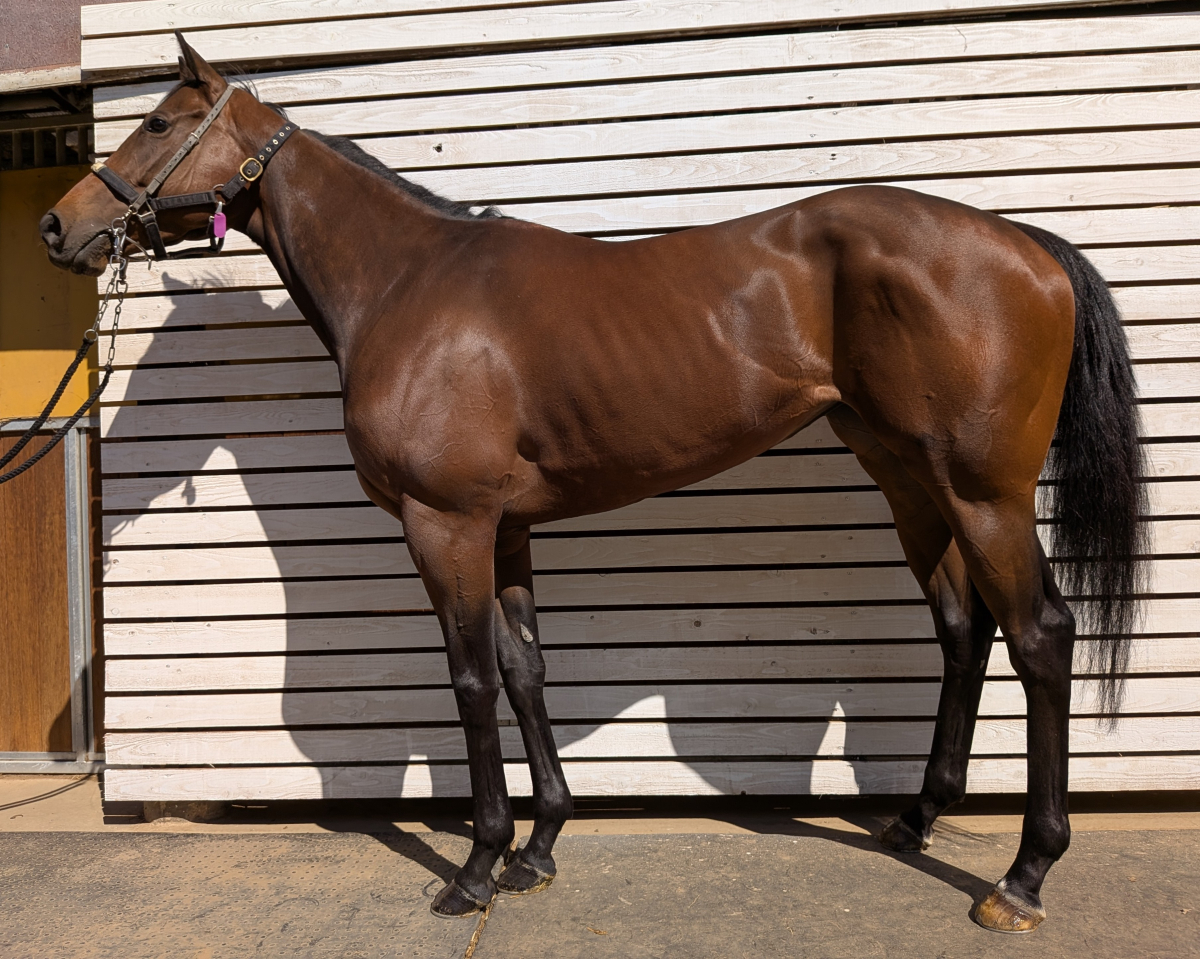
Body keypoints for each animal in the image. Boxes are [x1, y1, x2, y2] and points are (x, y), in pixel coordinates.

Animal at [43, 36, 1145, 933]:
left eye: (156, 122)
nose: (58, 227)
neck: (409, 284)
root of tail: (1026, 243)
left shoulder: (446, 524)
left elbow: (472, 678)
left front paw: (477, 865)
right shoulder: (505, 526)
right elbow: (526, 669)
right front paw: (537, 849)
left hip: (983, 491)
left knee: (1041, 634)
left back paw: (1024, 875)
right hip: (909, 478)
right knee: (964, 627)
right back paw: (915, 816)